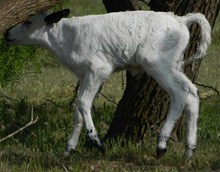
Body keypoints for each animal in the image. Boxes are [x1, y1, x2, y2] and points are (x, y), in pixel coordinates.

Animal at [5, 9, 211, 157]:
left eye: (28, 22)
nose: (7, 33)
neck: (67, 36)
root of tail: (181, 19)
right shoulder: (85, 75)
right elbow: (78, 111)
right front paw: (69, 149)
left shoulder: (99, 69)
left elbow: (82, 103)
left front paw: (96, 142)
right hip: (174, 65)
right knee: (192, 92)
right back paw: (189, 150)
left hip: (158, 64)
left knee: (179, 94)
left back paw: (161, 144)